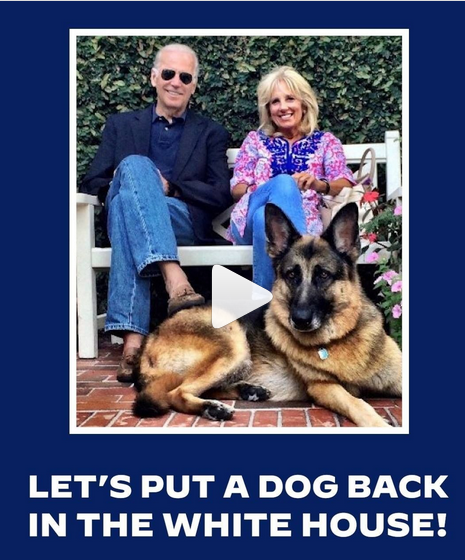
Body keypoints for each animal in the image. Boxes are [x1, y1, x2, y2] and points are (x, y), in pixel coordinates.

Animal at [132, 203, 400, 426]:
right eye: (291, 275)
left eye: (323, 275)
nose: (299, 320)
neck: (340, 337)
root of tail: (152, 337)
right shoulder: (324, 388)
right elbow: (358, 404)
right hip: (234, 342)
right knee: (177, 393)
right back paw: (214, 408)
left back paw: (248, 391)